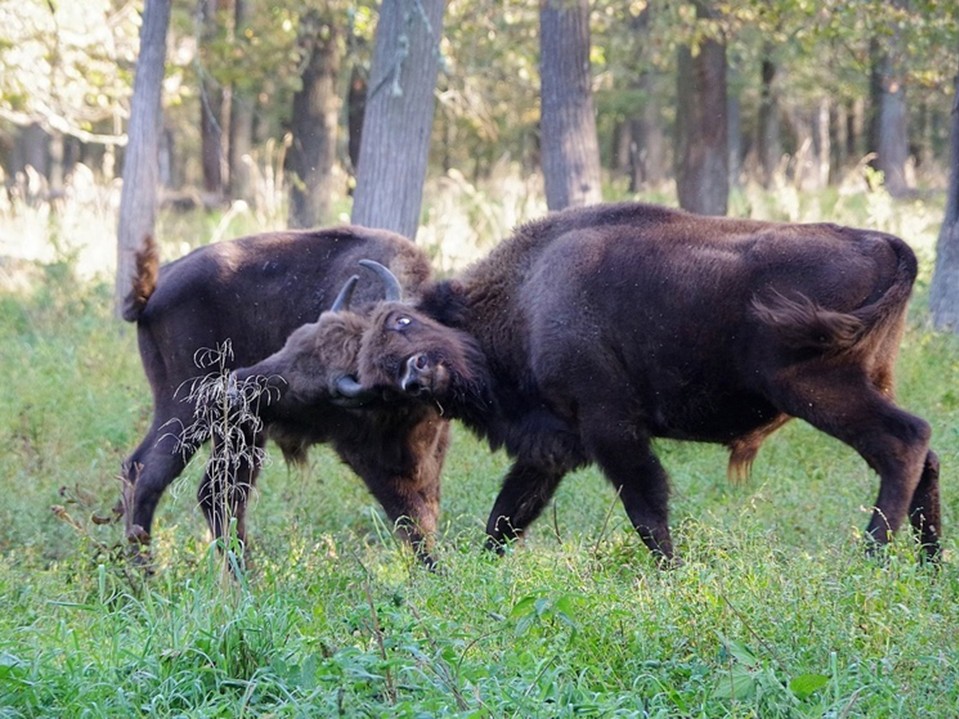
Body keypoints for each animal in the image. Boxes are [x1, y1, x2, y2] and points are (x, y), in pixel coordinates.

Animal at [120, 229, 450, 568]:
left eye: (317, 393)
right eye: (291, 343)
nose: (234, 388)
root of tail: (155, 290)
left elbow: (425, 512)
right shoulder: (365, 456)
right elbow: (410, 518)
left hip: (235, 434)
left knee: (214, 493)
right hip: (186, 413)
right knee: (151, 477)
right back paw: (147, 571)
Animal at [340, 201, 944, 564]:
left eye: (403, 322)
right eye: (374, 378)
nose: (416, 374)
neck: (529, 297)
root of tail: (885, 244)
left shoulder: (613, 430)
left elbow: (646, 509)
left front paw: (670, 574)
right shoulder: (553, 447)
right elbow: (505, 517)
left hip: (820, 388)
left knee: (904, 442)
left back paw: (873, 558)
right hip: (871, 381)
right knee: (925, 456)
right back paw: (930, 564)